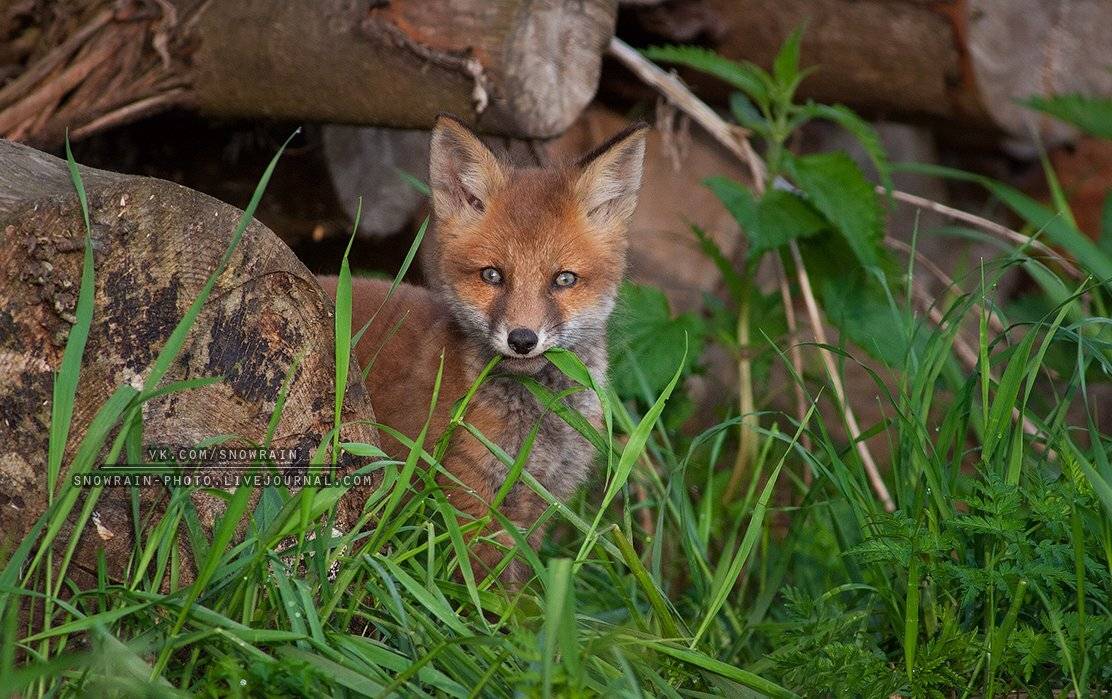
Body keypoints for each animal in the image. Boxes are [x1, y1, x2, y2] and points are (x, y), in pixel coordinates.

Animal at [318, 114, 647, 584]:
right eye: (493, 275)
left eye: (564, 279)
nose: (523, 339)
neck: (538, 423)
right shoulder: (467, 496)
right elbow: (480, 587)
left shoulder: (541, 504)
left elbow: (521, 586)